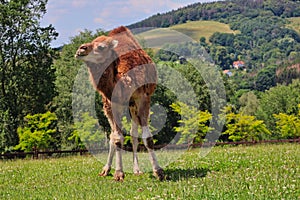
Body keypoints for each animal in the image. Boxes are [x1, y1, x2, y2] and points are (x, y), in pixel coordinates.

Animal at [75, 26, 164, 181]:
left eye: (101, 47)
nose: (81, 49)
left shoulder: (142, 97)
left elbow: (147, 138)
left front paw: (158, 171)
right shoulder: (112, 102)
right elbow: (117, 138)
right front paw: (118, 173)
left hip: (132, 105)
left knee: (133, 134)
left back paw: (137, 170)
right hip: (110, 105)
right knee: (113, 134)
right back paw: (106, 169)